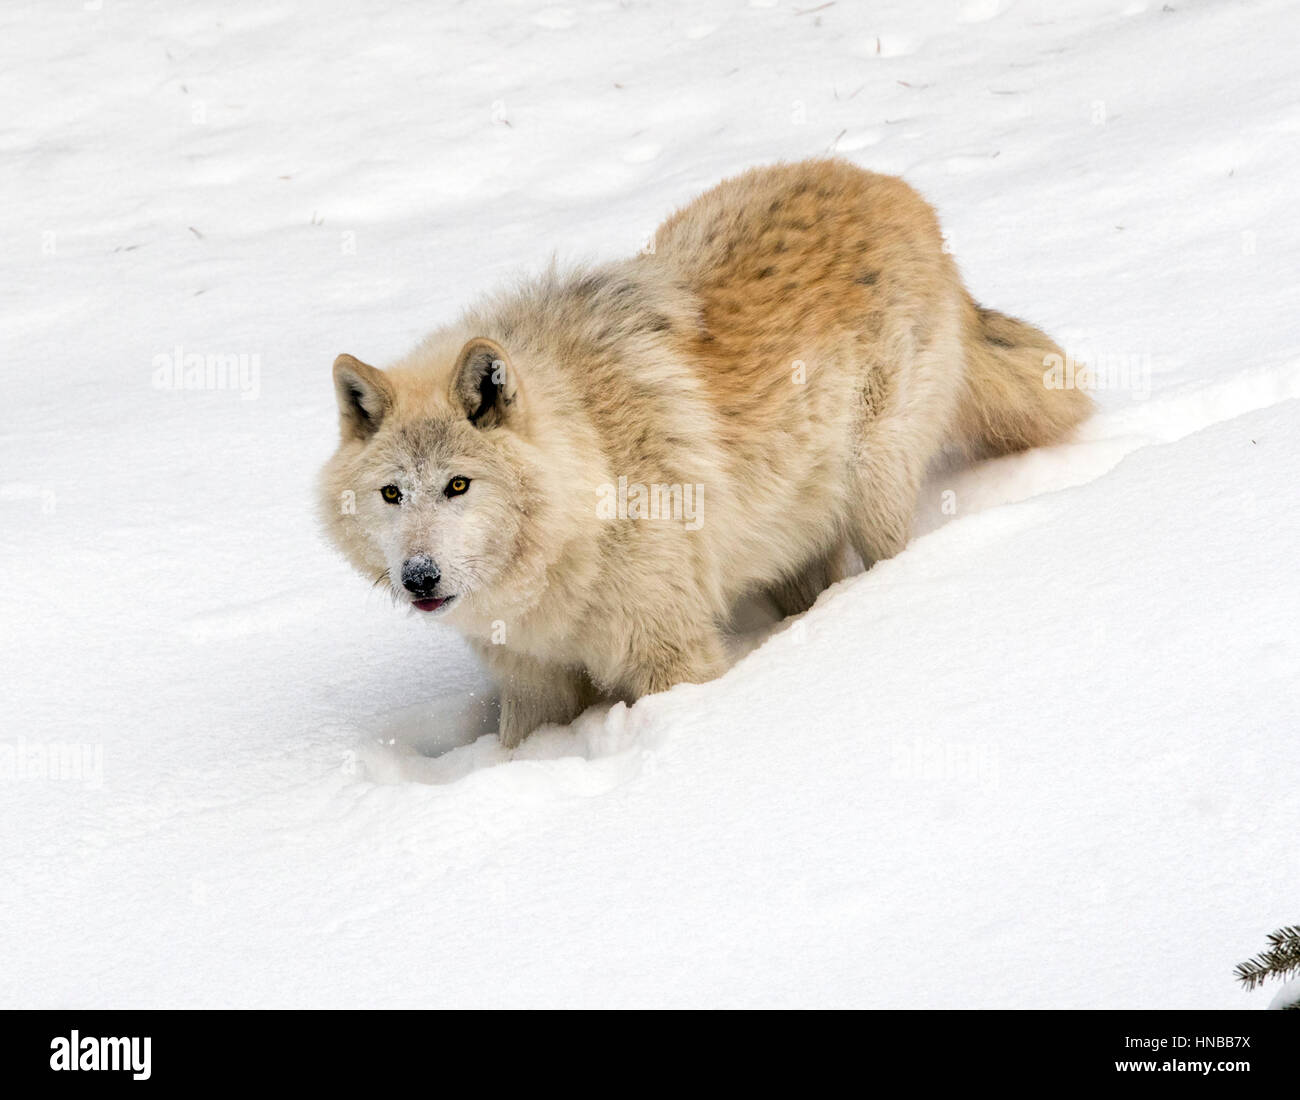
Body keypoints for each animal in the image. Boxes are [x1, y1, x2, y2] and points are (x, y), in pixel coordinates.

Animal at [319, 159, 1092, 746]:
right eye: (392, 494)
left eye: (458, 485)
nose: (418, 576)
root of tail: (894, 189)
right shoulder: (533, 686)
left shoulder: (672, 659)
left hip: (873, 493)